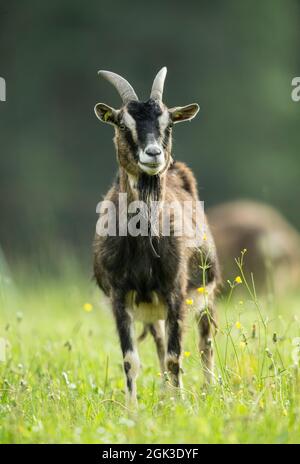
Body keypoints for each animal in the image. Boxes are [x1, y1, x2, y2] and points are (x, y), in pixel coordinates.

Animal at [92, 66, 219, 406]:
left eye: (169, 122)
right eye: (123, 123)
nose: (153, 154)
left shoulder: (175, 292)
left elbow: (177, 356)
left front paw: (179, 405)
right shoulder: (119, 295)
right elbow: (131, 359)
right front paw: (133, 408)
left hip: (206, 291)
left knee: (205, 342)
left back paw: (209, 390)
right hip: (152, 310)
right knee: (161, 344)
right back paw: (163, 395)